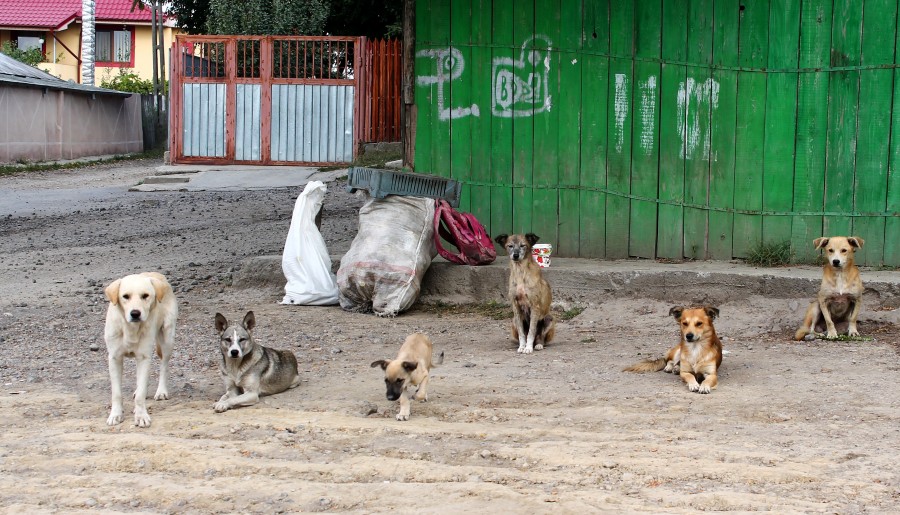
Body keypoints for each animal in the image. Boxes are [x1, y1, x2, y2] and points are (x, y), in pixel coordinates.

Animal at [103, 272, 178, 430]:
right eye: (125, 296)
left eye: (145, 296)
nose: (135, 313)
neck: (130, 329)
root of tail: (158, 275)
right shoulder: (114, 358)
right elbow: (116, 393)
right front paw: (115, 415)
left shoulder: (144, 357)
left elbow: (141, 395)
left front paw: (141, 416)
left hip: (167, 338)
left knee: (164, 366)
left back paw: (161, 391)